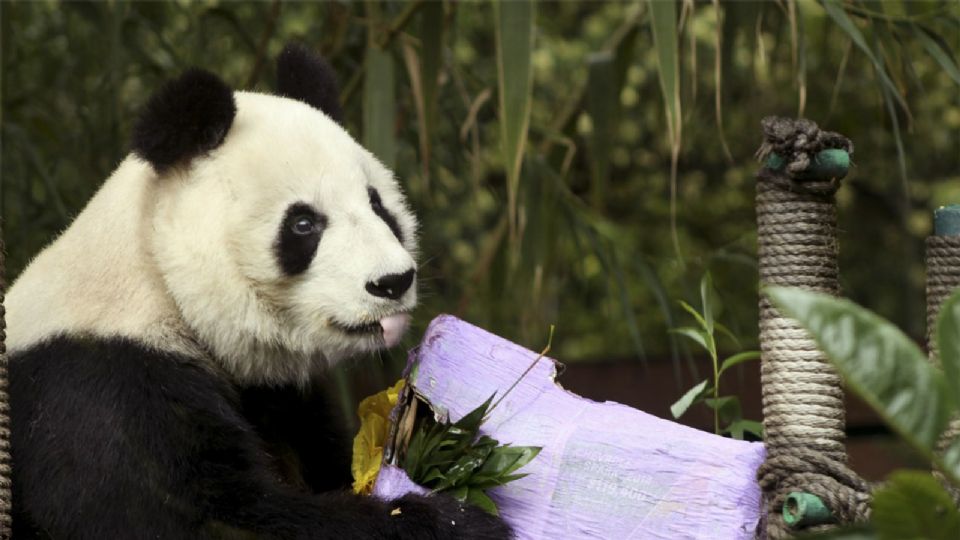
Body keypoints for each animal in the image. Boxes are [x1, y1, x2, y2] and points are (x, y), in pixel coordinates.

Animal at [5, 44, 510, 536]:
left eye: (377, 205)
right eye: (303, 224)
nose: (392, 282)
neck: (158, 281)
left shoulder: (278, 396)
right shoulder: (100, 389)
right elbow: (182, 517)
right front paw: (453, 519)